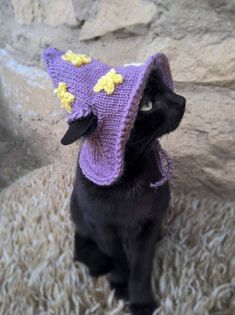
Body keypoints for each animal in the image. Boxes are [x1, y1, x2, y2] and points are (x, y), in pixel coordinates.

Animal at [61, 69, 186, 315]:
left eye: (166, 88)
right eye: (147, 104)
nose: (181, 100)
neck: (128, 181)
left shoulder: (151, 222)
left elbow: (141, 265)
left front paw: (141, 302)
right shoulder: (101, 225)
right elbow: (117, 257)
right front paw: (120, 285)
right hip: (80, 213)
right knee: (79, 245)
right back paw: (97, 264)